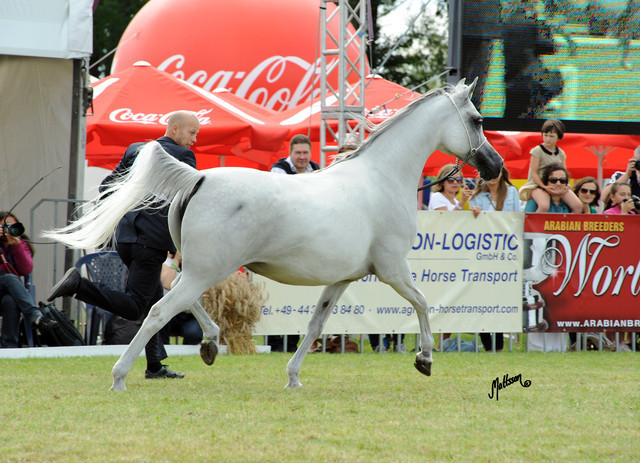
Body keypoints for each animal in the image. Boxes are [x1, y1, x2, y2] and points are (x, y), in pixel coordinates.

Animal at [43, 79, 503, 392]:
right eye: (478, 120)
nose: (496, 166)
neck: (380, 178)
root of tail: (199, 177)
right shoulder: (393, 269)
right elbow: (424, 304)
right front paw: (425, 359)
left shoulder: (342, 279)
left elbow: (315, 326)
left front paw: (294, 377)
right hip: (205, 270)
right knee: (158, 311)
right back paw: (121, 375)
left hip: (193, 268)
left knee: (173, 299)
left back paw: (210, 344)